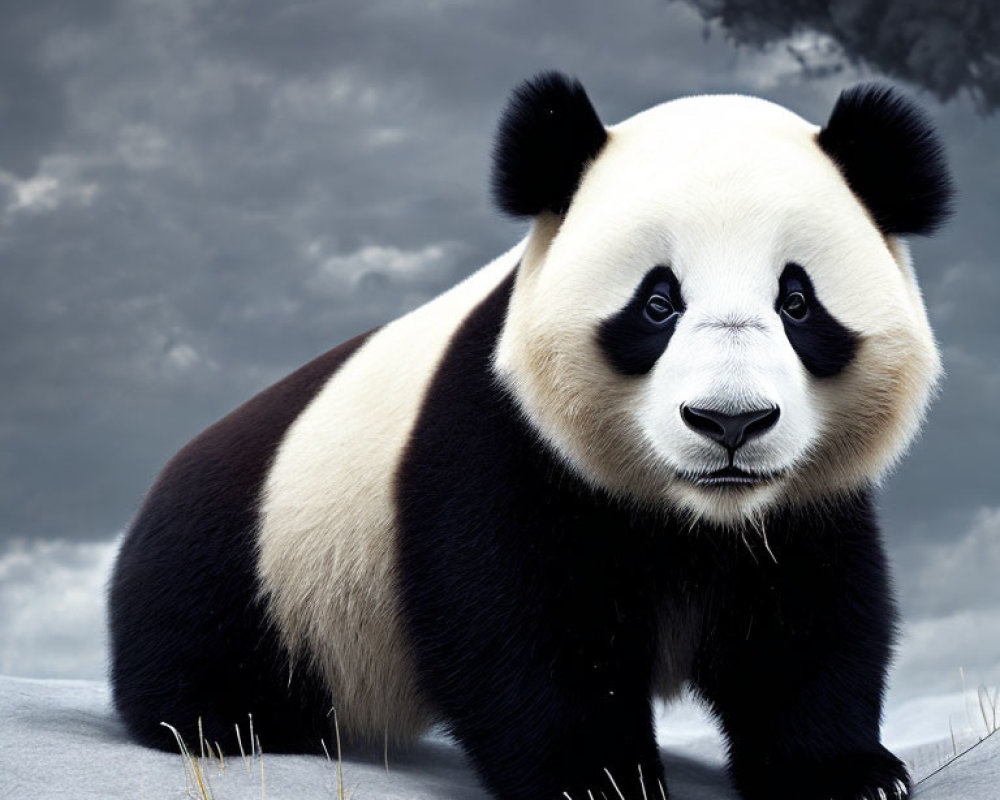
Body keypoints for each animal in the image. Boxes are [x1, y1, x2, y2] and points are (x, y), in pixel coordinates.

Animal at [109, 70, 952, 800]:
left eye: (797, 301)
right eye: (657, 303)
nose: (730, 422)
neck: (697, 514)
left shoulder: (805, 502)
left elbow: (805, 624)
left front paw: (849, 775)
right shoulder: (501, 437)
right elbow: (521, 628)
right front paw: (601, 779)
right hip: (257, 571)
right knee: (202, 656)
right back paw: (229, 722)